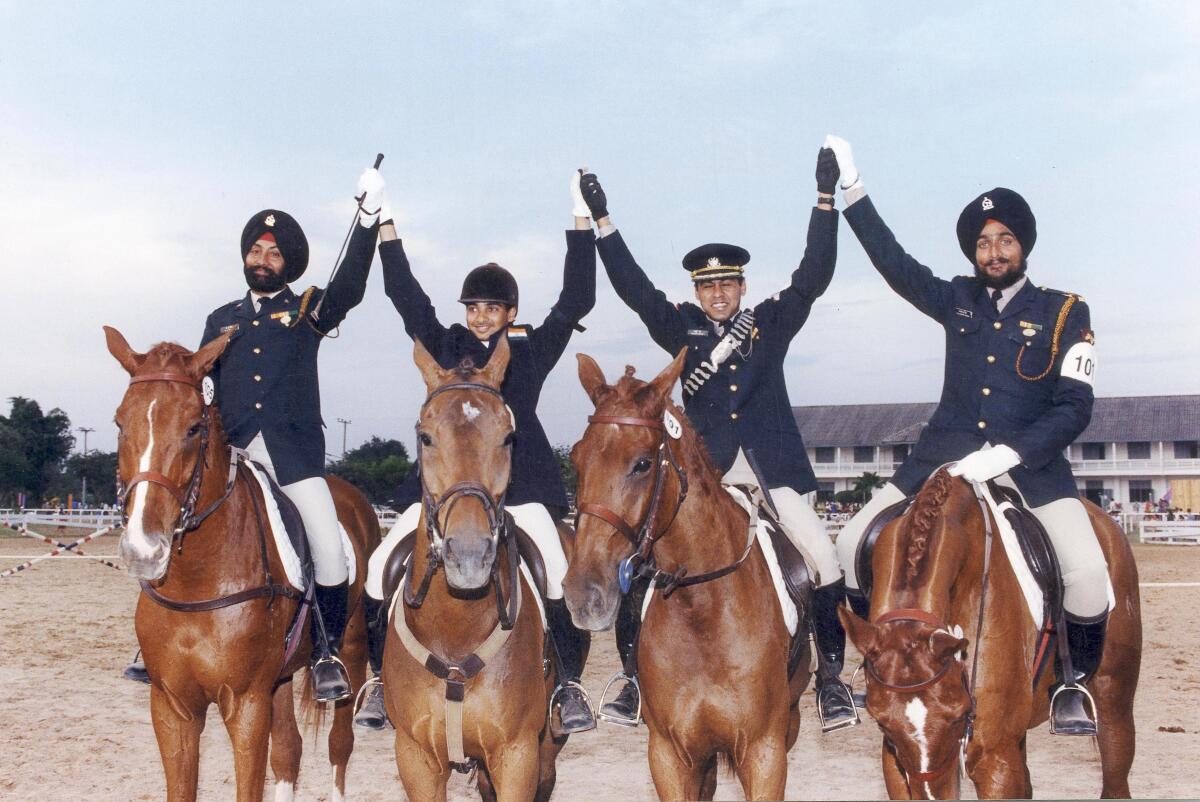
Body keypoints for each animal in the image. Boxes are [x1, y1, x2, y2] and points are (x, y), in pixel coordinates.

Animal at [108, 326, 381, 802]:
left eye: (194, 427)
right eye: (120, 423)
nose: (143, 549)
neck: (198, 580)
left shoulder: (246, 705)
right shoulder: (173, 708)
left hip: (350, 651)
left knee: (339, 746)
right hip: (281, 678)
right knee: (289, 750)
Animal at [386, 338, 568, 802]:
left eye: (508, 438)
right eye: (426, 437)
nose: (468, 557)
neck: (456, 627)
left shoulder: (518, 754)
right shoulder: (416, 757)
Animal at [561, 352, 806, 802]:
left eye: (642, 463)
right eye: (577, 459)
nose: (583, 594)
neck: (703, 612)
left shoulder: (764, 753)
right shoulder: (671, 756)